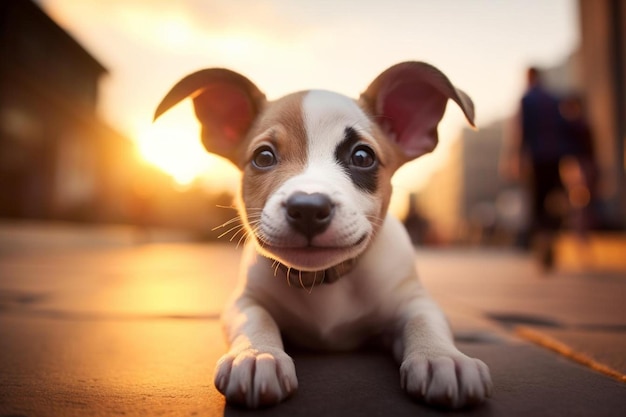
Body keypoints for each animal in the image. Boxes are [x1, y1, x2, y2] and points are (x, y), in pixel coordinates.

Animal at [154, 61, 490, 406]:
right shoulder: (244, 301)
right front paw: (258, 354)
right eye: (263, 157)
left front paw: (442, 357)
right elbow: (254, 318)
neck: (323, 280)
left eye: (362, 156)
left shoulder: (414, 301)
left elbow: (425, 321)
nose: (308, 208)